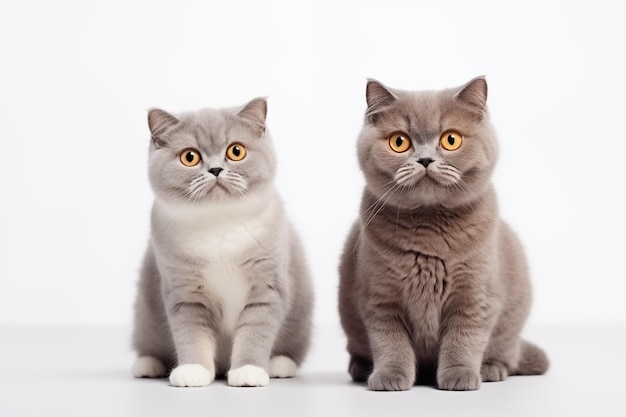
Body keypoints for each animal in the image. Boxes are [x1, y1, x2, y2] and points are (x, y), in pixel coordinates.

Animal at [131, 97, 312, 386]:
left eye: (236, 151)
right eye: (190, 157)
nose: (215, 169)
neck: (219, 226)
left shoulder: (267, 287)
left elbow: (254, 333)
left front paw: (248, 370)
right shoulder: (185, 292)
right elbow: (191, 334)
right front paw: (193, 370)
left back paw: (280, 364)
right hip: (145, 318)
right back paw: (148, 364)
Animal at [336, 75, 544, 390]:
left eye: (451, 139)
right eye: (399, 142)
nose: (425, 160)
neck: (429, 228)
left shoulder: (474, 297)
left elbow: (463, 339)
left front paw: (459, 376)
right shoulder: (380, 298)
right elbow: (390, 342)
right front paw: (389, 376)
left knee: (508, 354)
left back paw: (491, 369)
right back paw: (360, 368)